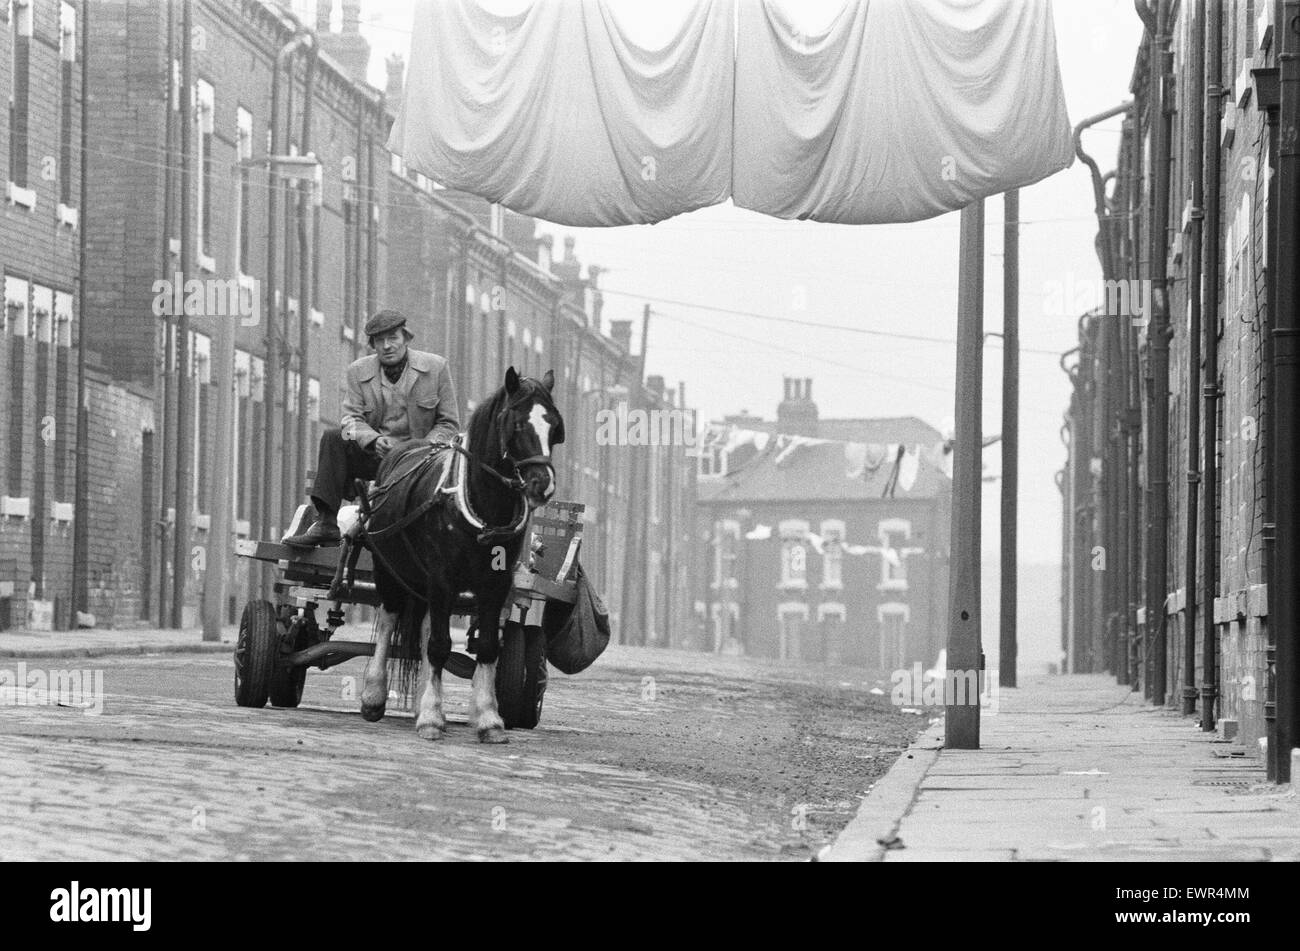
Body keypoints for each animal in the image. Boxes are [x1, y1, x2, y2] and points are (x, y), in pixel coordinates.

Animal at [356, 363, 564, 743]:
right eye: (517, 424)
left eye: (555, 427)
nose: (543, 484)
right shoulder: (442, 579)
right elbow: (439, 645)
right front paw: (431, 719)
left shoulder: (496, 583)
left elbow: (486, 647)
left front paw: (488, 719)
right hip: (388, 568)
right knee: (390, 620)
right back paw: (375, 696)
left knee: (423, 630)